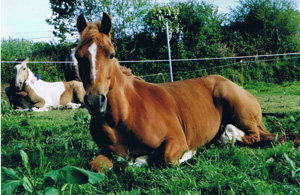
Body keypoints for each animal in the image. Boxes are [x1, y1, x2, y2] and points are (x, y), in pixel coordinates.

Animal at [75, 12, 300, 172]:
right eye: (78, 56)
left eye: (111, 54)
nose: (95, 101)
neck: (124, 115)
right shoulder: (107, 153)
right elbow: (94, 166)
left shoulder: (176, 140)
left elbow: (166, 158)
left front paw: (186, 153)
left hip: (239, 110)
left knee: (252, 136)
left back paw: (225, 138)